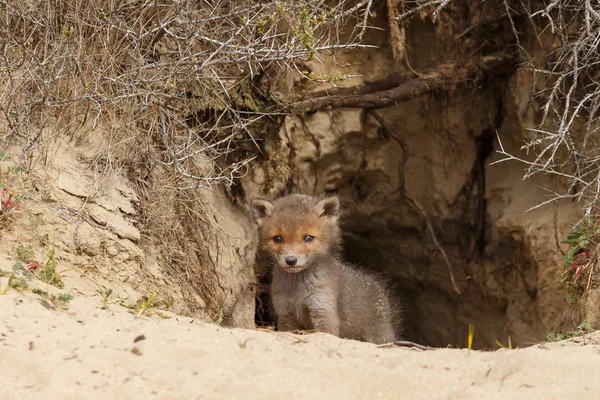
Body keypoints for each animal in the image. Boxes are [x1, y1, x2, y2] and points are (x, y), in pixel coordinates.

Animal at [251, 194, 400, 344]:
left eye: (308, 237)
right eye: (278, 238)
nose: (291, 260)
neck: (298, 291)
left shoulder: (324, 310)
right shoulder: (285, 313)